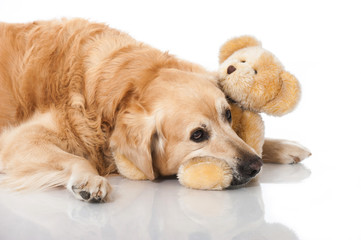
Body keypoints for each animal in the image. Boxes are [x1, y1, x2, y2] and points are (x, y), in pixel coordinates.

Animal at [0, 19, 308, 202]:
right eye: (198, 135)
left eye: (228, 115)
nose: (256, 166)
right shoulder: (16, 142)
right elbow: (79, 159)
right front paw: (90, 180)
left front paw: (283, 146)